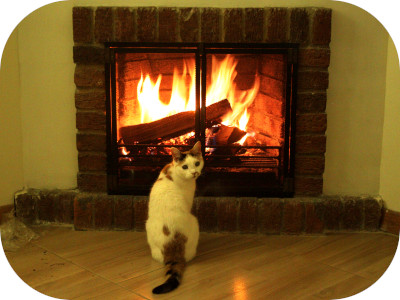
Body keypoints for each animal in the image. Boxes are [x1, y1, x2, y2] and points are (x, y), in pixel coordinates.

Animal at [145, 142, 205, 294]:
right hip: (195, 221)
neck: (172, 170)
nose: (194, 173)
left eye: (197, 163)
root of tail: (172, 243)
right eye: (185, 167)